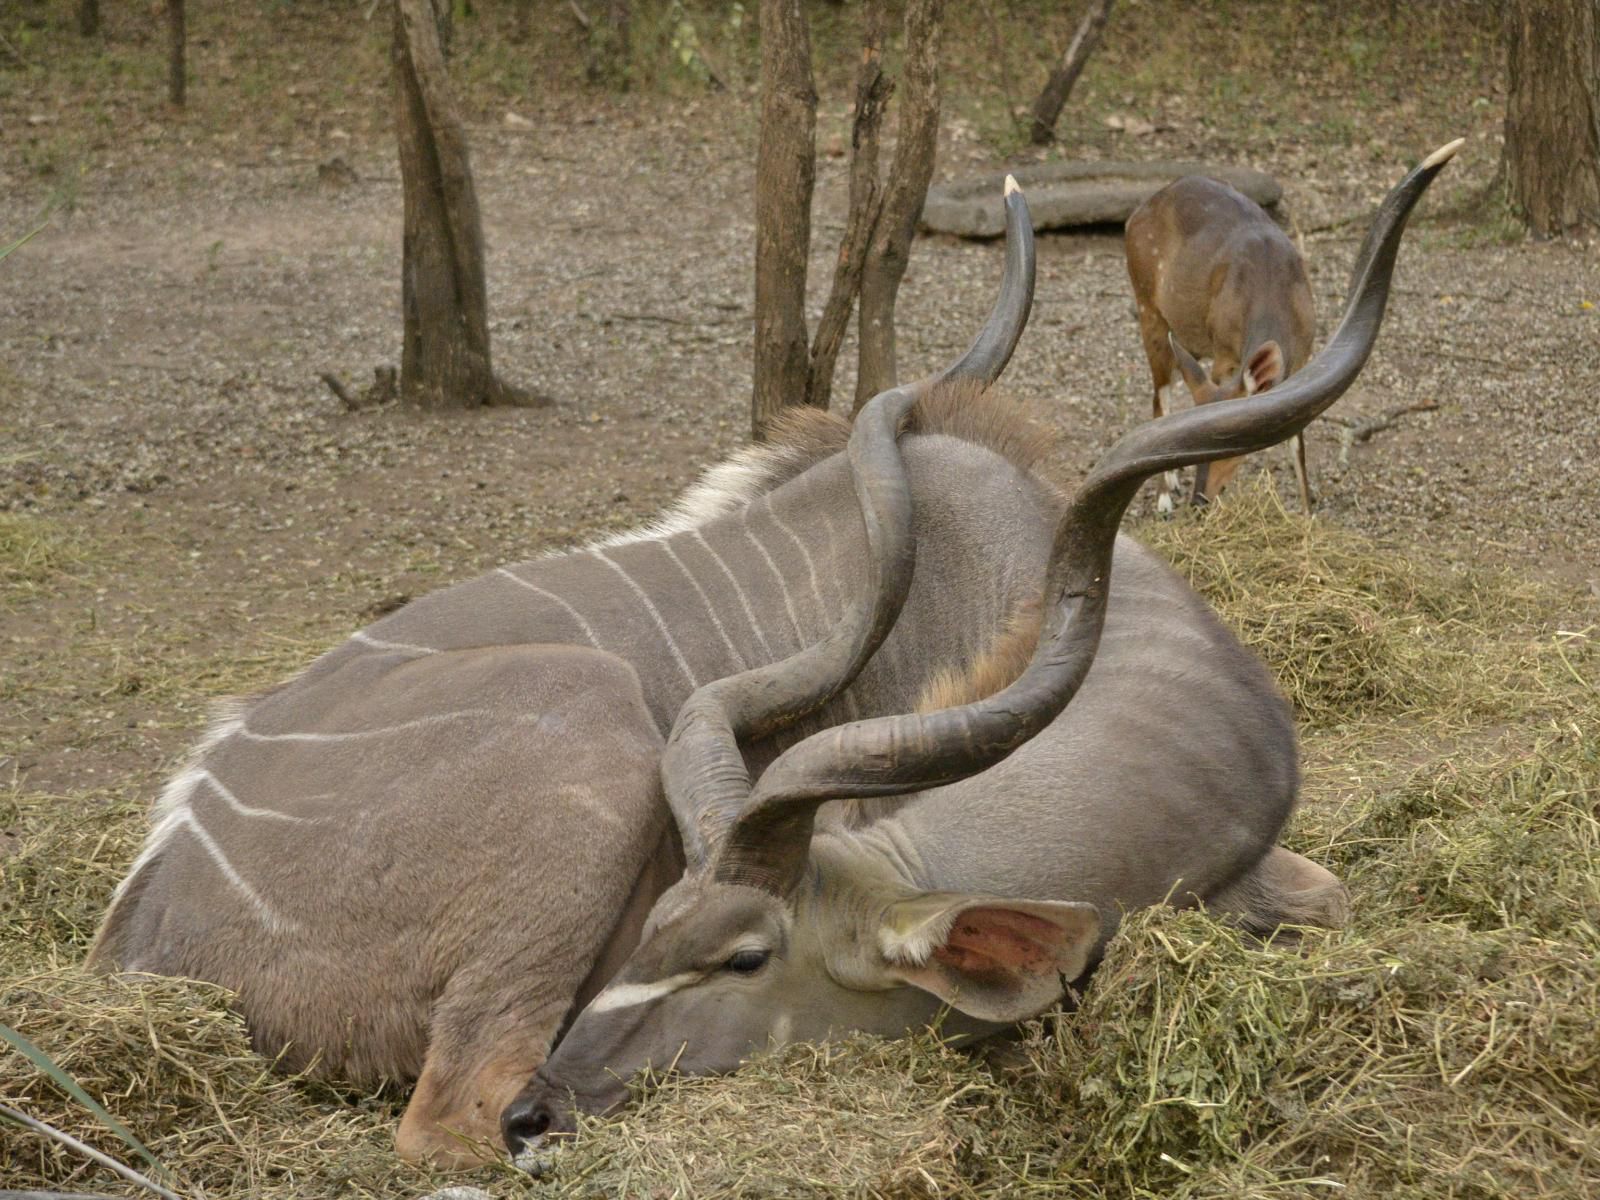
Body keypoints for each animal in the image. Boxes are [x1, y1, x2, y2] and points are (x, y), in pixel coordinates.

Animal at [1126, 172, 1312, 512]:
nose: (1199, 500)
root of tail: (1137, 213)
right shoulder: (1224, 352)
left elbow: (1298, 443)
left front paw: (1308, 512)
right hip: (1147, 306)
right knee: (1160, 395)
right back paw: (1163, 497)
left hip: (1186, 334)